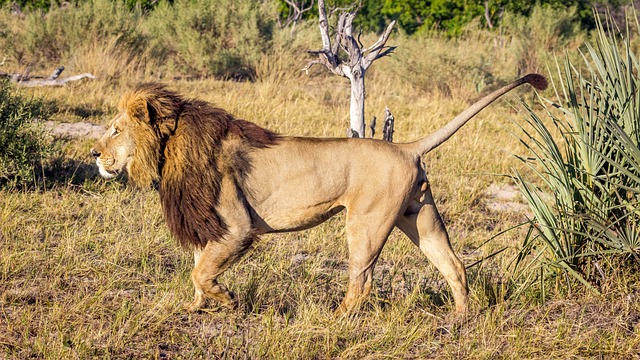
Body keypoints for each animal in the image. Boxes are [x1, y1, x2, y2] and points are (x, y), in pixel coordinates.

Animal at [92, 74, 548, 314]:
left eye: (115, 129)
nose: (93, 154)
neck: (169, 148)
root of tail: (406, 147)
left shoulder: (235, 226)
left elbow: (200, 271)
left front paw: (227, 299)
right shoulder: (209, 223)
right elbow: (198, 267)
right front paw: (196, 308)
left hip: (366, 223)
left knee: (363, 279)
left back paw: (339, 316)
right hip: (420, 215)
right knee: (454, 265)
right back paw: (461, 318)